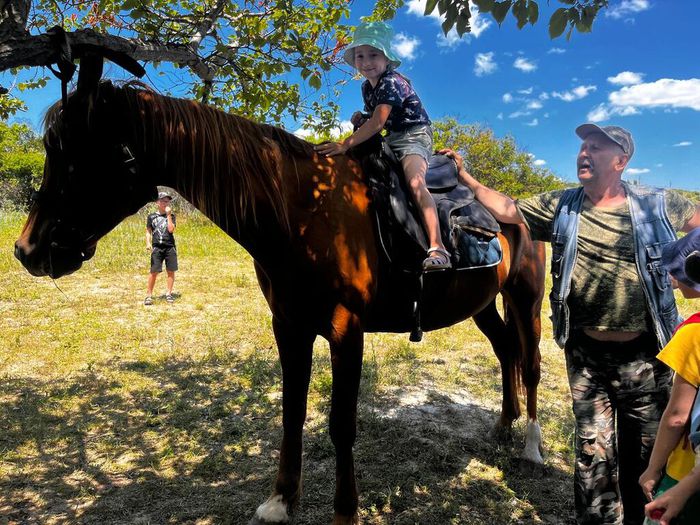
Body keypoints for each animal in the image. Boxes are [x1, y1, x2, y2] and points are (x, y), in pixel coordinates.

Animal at [12, 57, 548, 524]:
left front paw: (345, 512)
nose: (26, 249)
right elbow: (292, 412)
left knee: (532, 363)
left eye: (75, 155)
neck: (299, 210)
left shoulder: (346, 332)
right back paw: (503, 425)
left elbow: (341, 425)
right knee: (506, 352)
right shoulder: (289, 326)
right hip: (482, 305)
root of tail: (513, 206)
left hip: (525, 299)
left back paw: (531, 446)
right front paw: (281, 501)